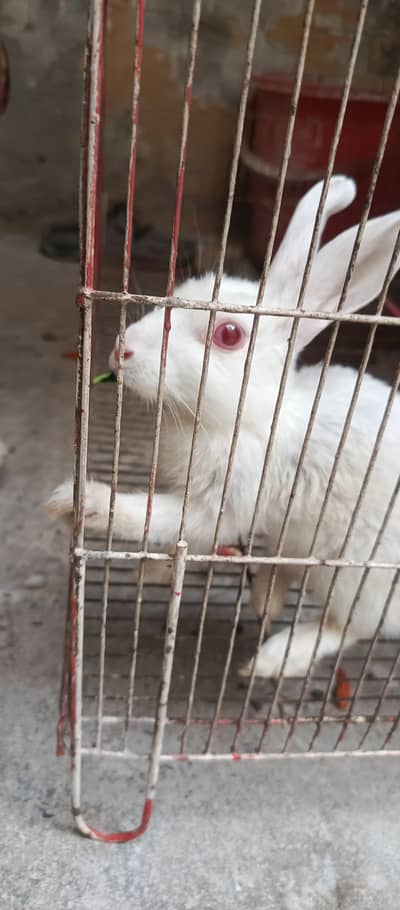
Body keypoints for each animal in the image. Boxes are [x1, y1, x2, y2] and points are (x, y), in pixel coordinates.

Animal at [47, 175, 400, 681]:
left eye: (229, 335)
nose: (122, 349)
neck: (245, 418)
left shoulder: (223, 503)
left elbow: (160, 518)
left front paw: (81, 502)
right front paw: (152, 571)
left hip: (358, 576)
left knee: (348, 626)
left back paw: (275, 658)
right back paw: (265, 596)